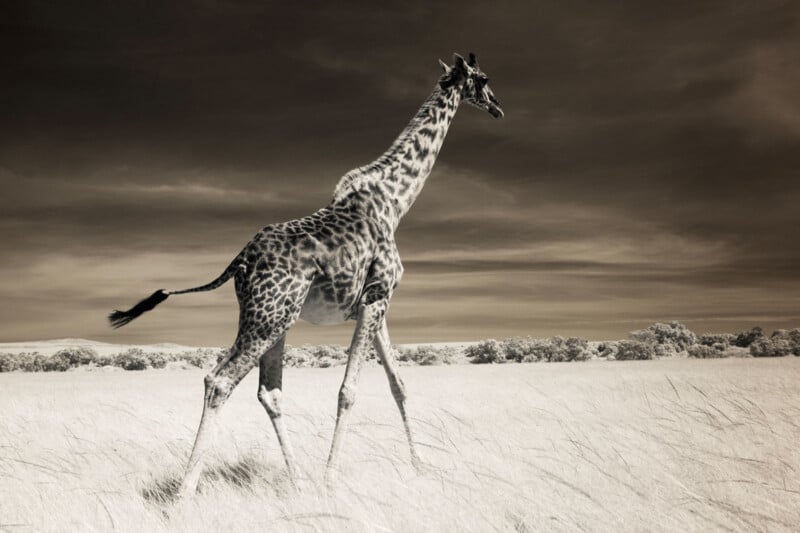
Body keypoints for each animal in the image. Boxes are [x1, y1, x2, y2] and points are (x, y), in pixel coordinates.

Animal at [109, 52, 504, 496]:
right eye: (483, 78)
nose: (497, 107)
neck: (394, 202)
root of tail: (240, 261)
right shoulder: (376, 298)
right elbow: (348, 390)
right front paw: (330, 479)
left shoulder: (377, 301)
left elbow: (398, 384)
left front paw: (419, 466)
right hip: (268, 318)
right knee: (220, 381)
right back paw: (184, 493)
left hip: (272, 318)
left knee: (268, 392)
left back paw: (295, 481)